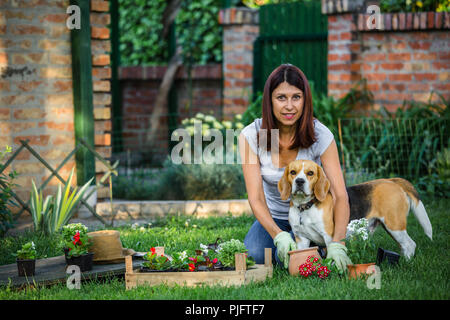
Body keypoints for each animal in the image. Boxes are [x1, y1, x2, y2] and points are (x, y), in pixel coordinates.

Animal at [278, 159, 432, 258]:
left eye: (310, 173)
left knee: (410, 244)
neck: (305, 207)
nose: (299, 181)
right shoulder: (301, 239)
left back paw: (407, 263)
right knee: (404, 245)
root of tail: (392, 181)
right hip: (392, 228)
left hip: (394, 225)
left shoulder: (329, 236)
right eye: (293, 172)